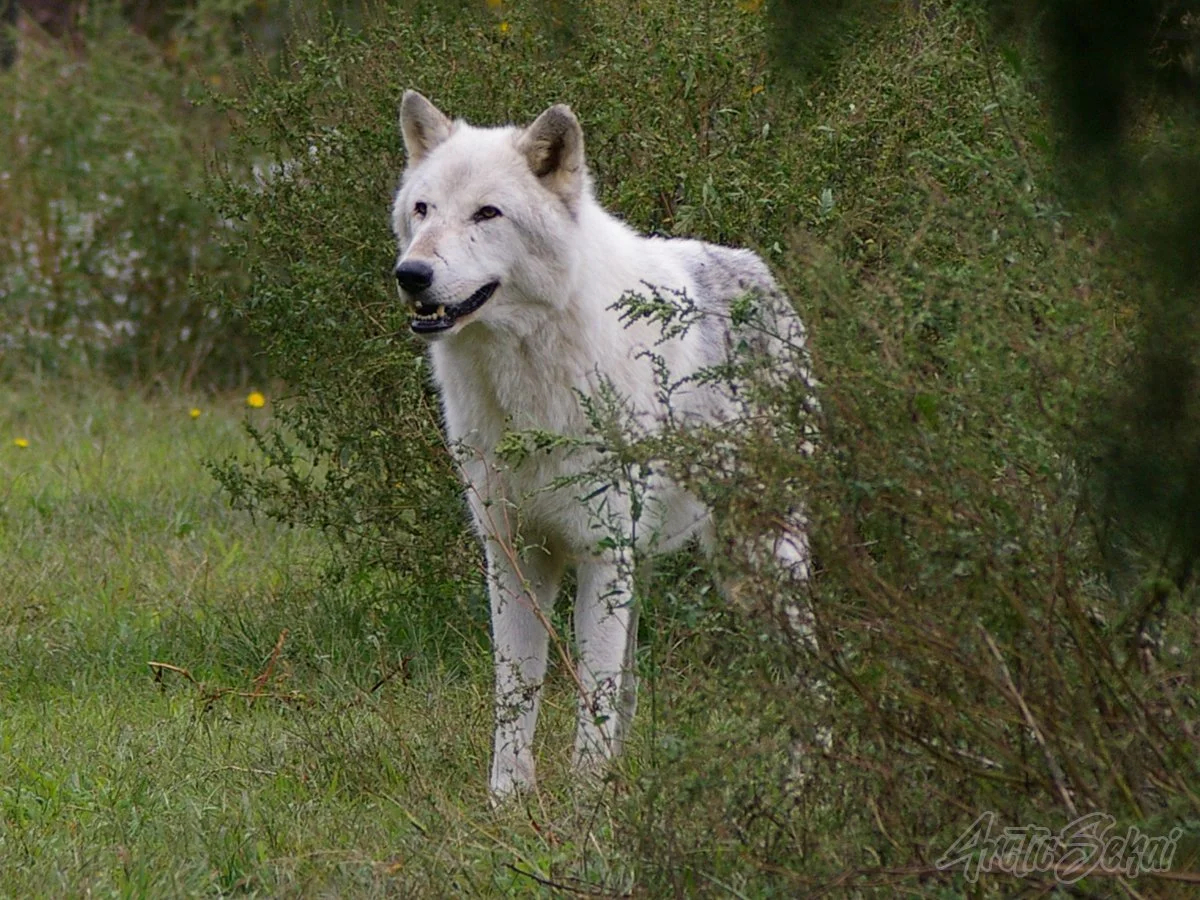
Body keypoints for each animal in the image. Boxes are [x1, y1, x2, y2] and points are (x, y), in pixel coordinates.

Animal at [392, 91, 816, 800]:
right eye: (423, 209)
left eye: (487, 213)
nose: (410, 274)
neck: (529, 384)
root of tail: (760, 271)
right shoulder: (514, 557)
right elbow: (518, 692)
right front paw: (509, 802)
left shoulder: (599, 552)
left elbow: (591, 690)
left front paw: (587, 806)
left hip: (754, 562)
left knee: (807, 667)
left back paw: (804, 783)